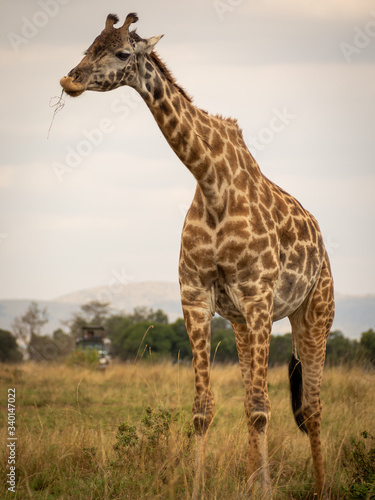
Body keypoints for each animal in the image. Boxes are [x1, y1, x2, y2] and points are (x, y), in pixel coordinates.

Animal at [60, 12, 336, 500]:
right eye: (88, 45)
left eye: (122, 53)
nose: (69, 80)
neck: (211, 182)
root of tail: (321, 241)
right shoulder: (196, 297)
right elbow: (205, 408)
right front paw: (200, 488)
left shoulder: (259, 295)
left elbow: (263, 407)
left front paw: (265, 492)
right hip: (243, 323)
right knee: (259, 399)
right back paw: (253, 480)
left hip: (314, 312)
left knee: (311, 407)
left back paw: (319, 487)